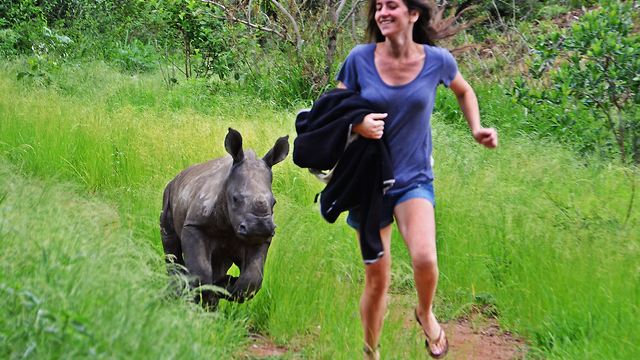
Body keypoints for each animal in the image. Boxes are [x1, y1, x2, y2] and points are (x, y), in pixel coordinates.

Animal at [160, 128, 290, 308]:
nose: (259, 227)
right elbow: (201, 271)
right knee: (171, 247)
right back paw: (177, 293)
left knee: (219, 261)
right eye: (235, 199)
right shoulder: (194, 226)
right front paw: (198, 295)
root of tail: (179, 175)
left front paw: (226, 285)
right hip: (169, 192)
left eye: (274, 202)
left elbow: (252, 279)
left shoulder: (261, 240)